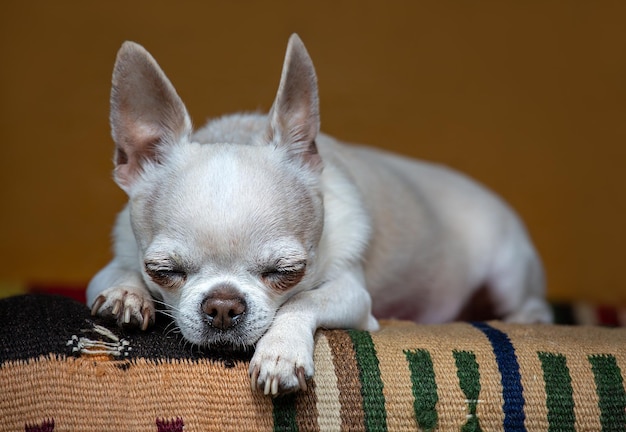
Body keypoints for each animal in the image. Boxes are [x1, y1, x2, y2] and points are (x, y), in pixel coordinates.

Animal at [88, 34, 552, 394]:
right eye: (164, 271)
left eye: (285, 271)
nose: (222, 306)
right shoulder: (119, 260)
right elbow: (116, 275)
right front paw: (125, 293)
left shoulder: (352, 292)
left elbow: (303, 301)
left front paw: (280, 352)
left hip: (509, 271)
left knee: (534, 303)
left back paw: (526, 317)